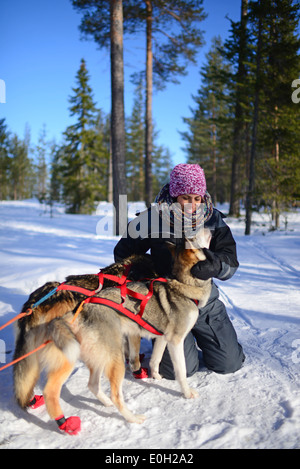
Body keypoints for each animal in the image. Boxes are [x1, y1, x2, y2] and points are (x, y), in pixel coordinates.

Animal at [13, 229, 211, 432]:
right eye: (196, 238)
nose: (206, 228)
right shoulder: (164, 338)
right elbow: (176, 369)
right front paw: (182, 390)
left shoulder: (161, 336)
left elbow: (154, 359)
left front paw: (154, 375)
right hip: (78, 356)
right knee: (57, 390)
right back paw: (70, 421)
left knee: (87, 384)